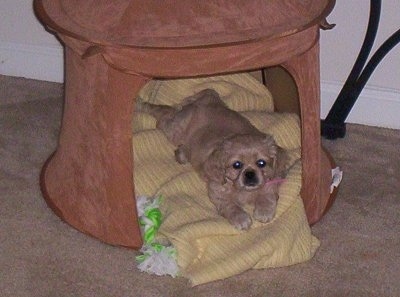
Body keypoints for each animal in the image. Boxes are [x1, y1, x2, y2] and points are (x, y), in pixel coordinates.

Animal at [138, 88, 288, 229]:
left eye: (261, 163)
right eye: (237, 165)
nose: (250, 174)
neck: (244, 191)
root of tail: (206, 100)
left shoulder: (273, 180)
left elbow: (268, 194)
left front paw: (264, 211)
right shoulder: (217, 193)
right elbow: (230, 206)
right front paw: (241, 218)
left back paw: (181, 154)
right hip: (174, 130)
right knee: (162, 117)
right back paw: (142, 105)